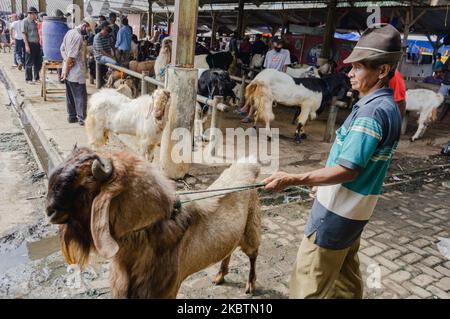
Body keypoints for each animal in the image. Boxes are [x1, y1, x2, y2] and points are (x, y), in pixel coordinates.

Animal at [46, 149, 262, 298]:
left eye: (84, 186)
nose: (50, 211)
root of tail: (249, 166)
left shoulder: (165, 290)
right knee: (229, 251)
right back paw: (220, 276)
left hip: (251, 229)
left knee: (253, 255)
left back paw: (250, 285)